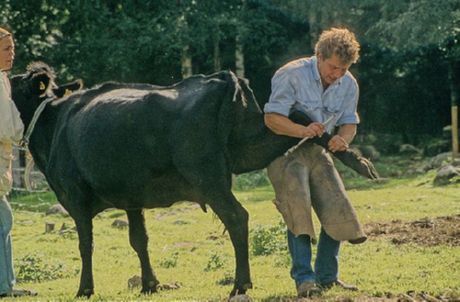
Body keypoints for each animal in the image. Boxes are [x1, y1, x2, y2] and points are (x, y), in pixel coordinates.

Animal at [10, 62, 378, 298]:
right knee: (301, 119)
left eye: (12, 82)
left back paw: (241, 284)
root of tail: (222, 78)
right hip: (250, 146)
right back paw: (355, 159)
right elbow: (139, 239)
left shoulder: (74, 195)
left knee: (237, 217)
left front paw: (85, 288)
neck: (54, 122)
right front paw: (150, 284)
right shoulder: (132, 198)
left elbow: (85, 244)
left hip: (208, 178)